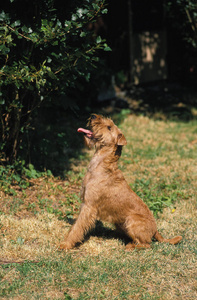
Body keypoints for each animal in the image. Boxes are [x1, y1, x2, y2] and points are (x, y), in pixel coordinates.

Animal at [59, 113, 182, 250]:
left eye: (109, 127)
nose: (93, 116)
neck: (100, 164)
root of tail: (155, 230)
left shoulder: (88, 206)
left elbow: (77, 227)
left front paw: (65, 244)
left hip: (131, 221)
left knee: (146, 244)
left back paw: (129, 247)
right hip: (121, 224)